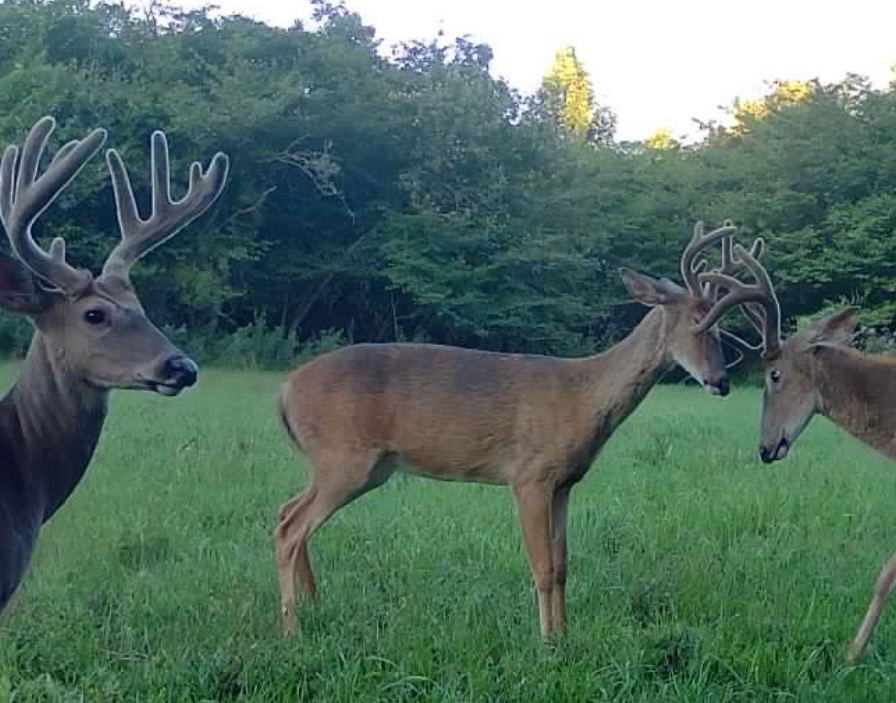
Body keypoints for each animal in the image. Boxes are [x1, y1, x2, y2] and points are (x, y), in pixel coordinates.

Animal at [274, 221, 763, 638]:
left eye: (721, 327)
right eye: (698, 322)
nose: (721, 381)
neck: (583, 398)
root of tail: (284, 390)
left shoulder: (565, 482)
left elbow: (563, 566)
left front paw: (565, 635)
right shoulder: (529, 476)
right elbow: (542, 568)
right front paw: (547, 644)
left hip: (356, 466)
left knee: (285, 512)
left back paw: (315, 605)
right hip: (346, 458)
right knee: (290, 529)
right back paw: (293, 631)